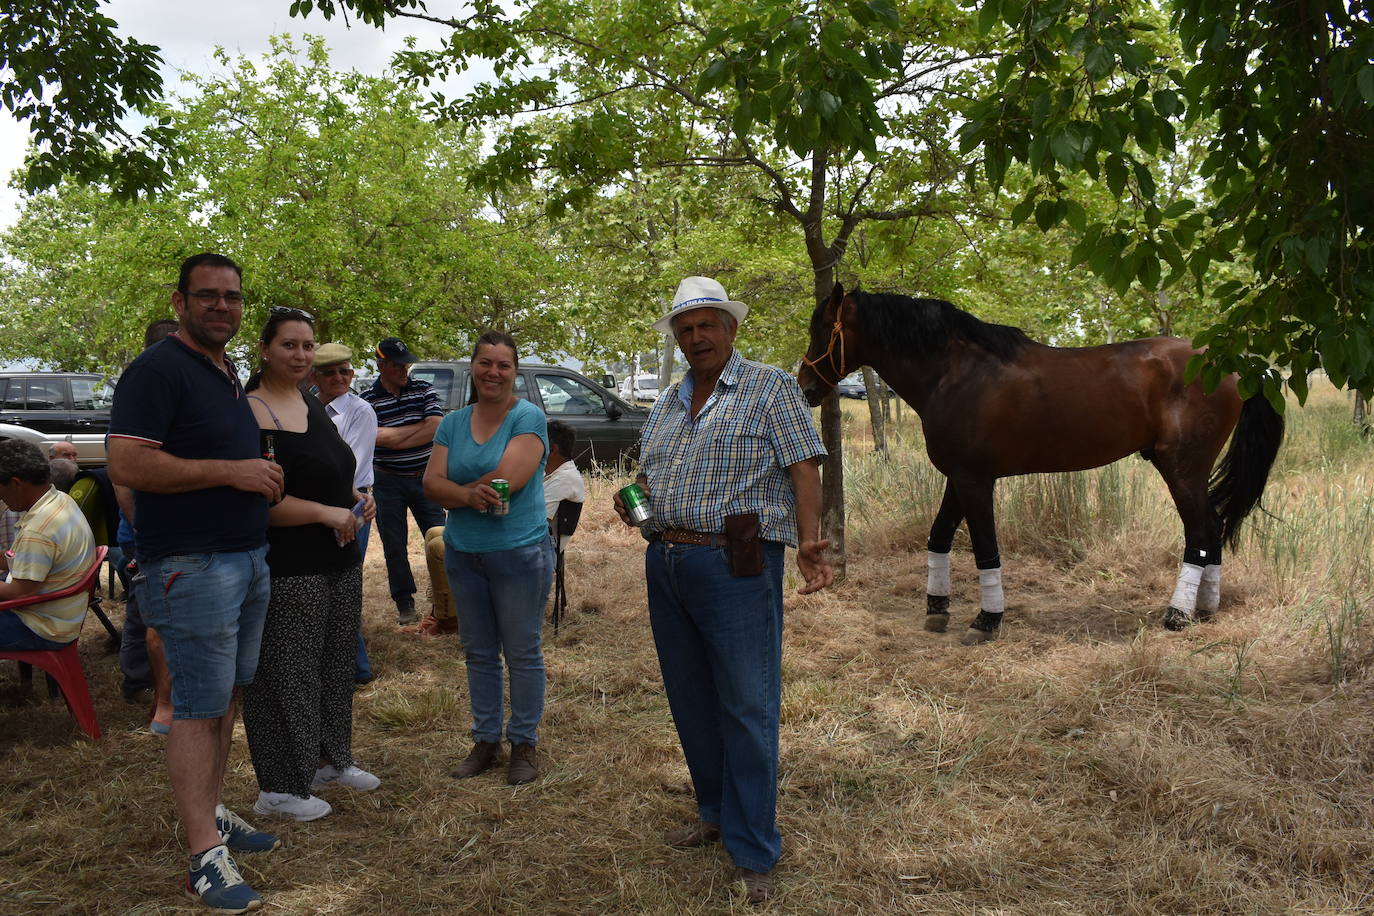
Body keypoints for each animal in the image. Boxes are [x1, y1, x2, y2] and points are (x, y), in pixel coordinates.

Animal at [796, 284, 1284, 645]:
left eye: (821, 328)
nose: (804, 387)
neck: (955, 373)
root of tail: (1235, 364)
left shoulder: (976, 481)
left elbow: (985, 548)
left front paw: (986, 620)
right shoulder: (958, 477)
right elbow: (938, 538)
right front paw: (937, 609)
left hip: (1182, 469)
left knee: (1201, 532)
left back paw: (1177, 615)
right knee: (1214, 529)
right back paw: (1205, 609)